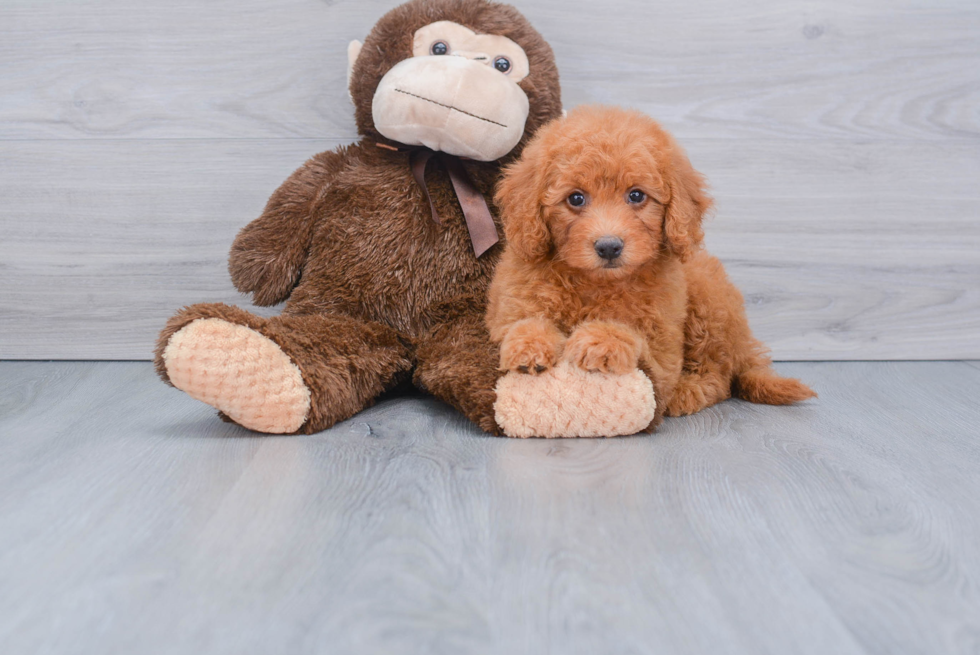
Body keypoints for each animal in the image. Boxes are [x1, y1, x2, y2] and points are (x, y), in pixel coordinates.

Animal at [486, 106, 816, 426]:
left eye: (636, 195)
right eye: (575, 198)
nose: (609, 246)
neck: (596, 282)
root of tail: (745, 346)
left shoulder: (663, 346)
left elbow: (635, 338)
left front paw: (601, 341)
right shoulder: (510, 306)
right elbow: (521, 323)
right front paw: (529, 344)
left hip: (708, 299)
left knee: (719, 376)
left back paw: (687, 391)